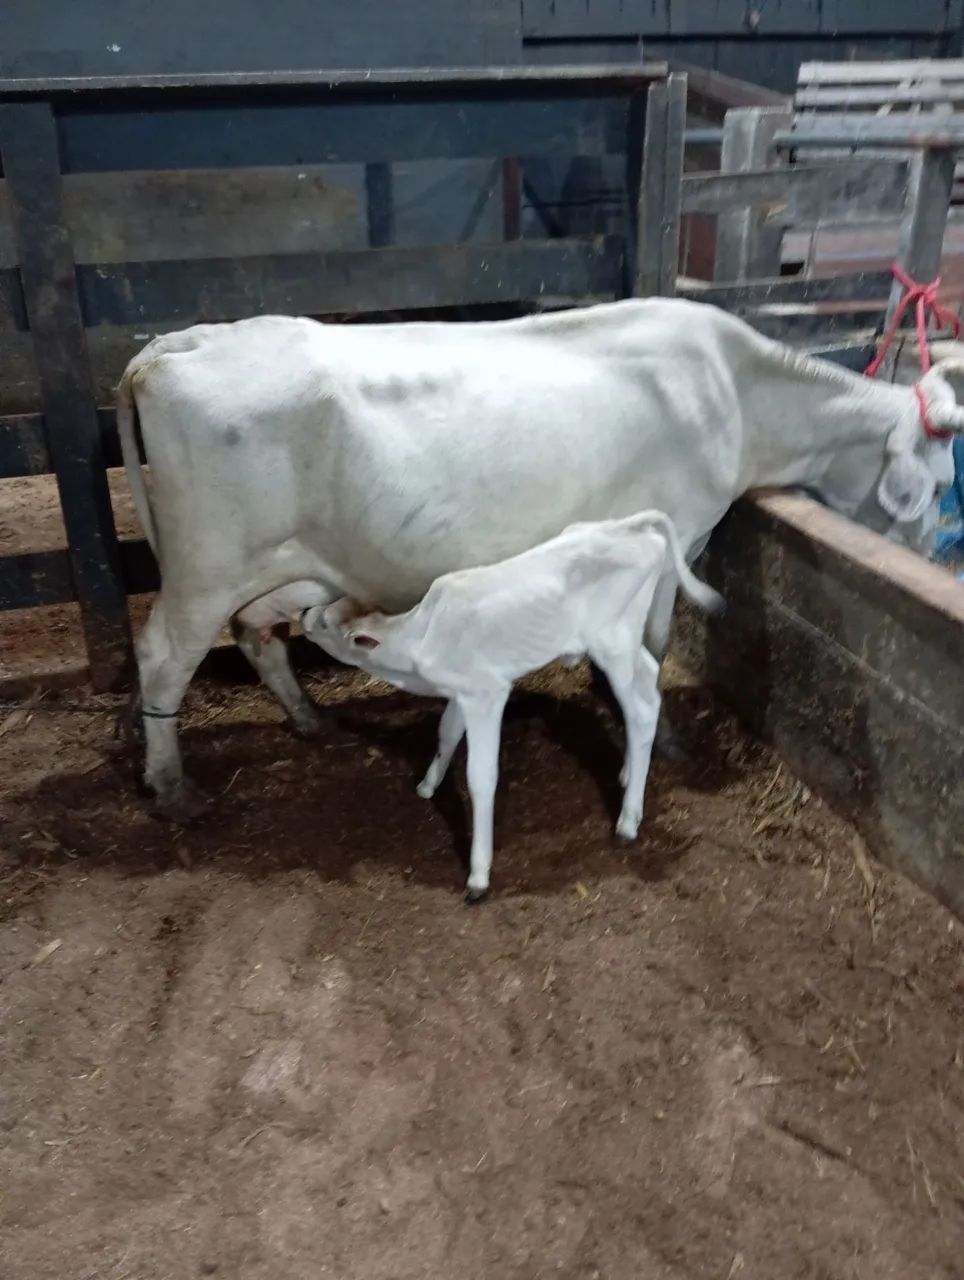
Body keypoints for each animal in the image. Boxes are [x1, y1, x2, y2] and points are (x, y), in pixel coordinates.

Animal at [115, 297, 964, 820]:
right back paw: (172, 787)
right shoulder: (673, 533)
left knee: (257, 635)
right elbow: (656, 642)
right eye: (934, 485)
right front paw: (658, 734)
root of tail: (172, 345)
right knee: (163, 657)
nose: (931, 558)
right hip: (207, 563)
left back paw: (309, 721)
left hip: (281, 565)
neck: (736, 395)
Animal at [299, 510, 723, 900]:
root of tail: (627, 526)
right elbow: (446, 732)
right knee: (649, 679)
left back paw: (628, 820)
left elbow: (481, 777)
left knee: (640, 707)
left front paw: (478, 875)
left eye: (325, 624)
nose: (304, 614)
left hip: (612, 643)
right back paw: (628, 771)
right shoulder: (463, 692)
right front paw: (428, 785)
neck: (421, 641)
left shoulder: (488, 694)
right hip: (626, 641)